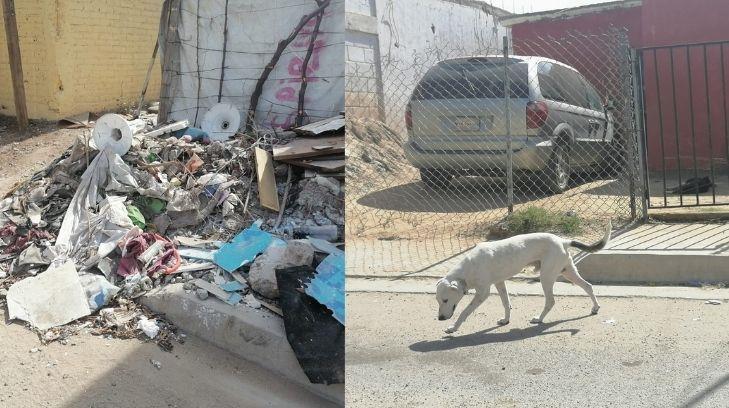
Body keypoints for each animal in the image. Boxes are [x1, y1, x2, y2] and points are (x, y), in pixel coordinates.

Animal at [436, 222, 612, 334]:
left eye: (445, 300)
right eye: (438, 301)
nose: (440, 318)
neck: (469, 268)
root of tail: (563, 241)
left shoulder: (483, 293)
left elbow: (464, 312)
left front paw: (453, 328)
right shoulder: (499, 283)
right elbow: (506, 303)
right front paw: (506, 320)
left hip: (546, 277)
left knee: (551, 301)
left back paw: (539, 319)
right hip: (568, 271)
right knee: (588, 286)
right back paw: (595, 308)